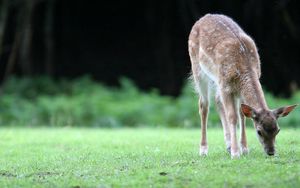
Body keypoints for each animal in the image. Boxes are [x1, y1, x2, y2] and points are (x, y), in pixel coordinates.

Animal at [189, 13, 296, 159]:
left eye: (278, 130)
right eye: (259, 131)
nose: (271, 152)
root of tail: (204, 17)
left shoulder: (236, 89)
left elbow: (242, 114)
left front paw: (244, 149)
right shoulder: (226, 86)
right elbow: (232, 116)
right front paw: (236, 153)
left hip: (216, 79)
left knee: (217, 100)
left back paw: (228, 145)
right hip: (198, 69)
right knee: (203, 105)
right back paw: (203, 150)